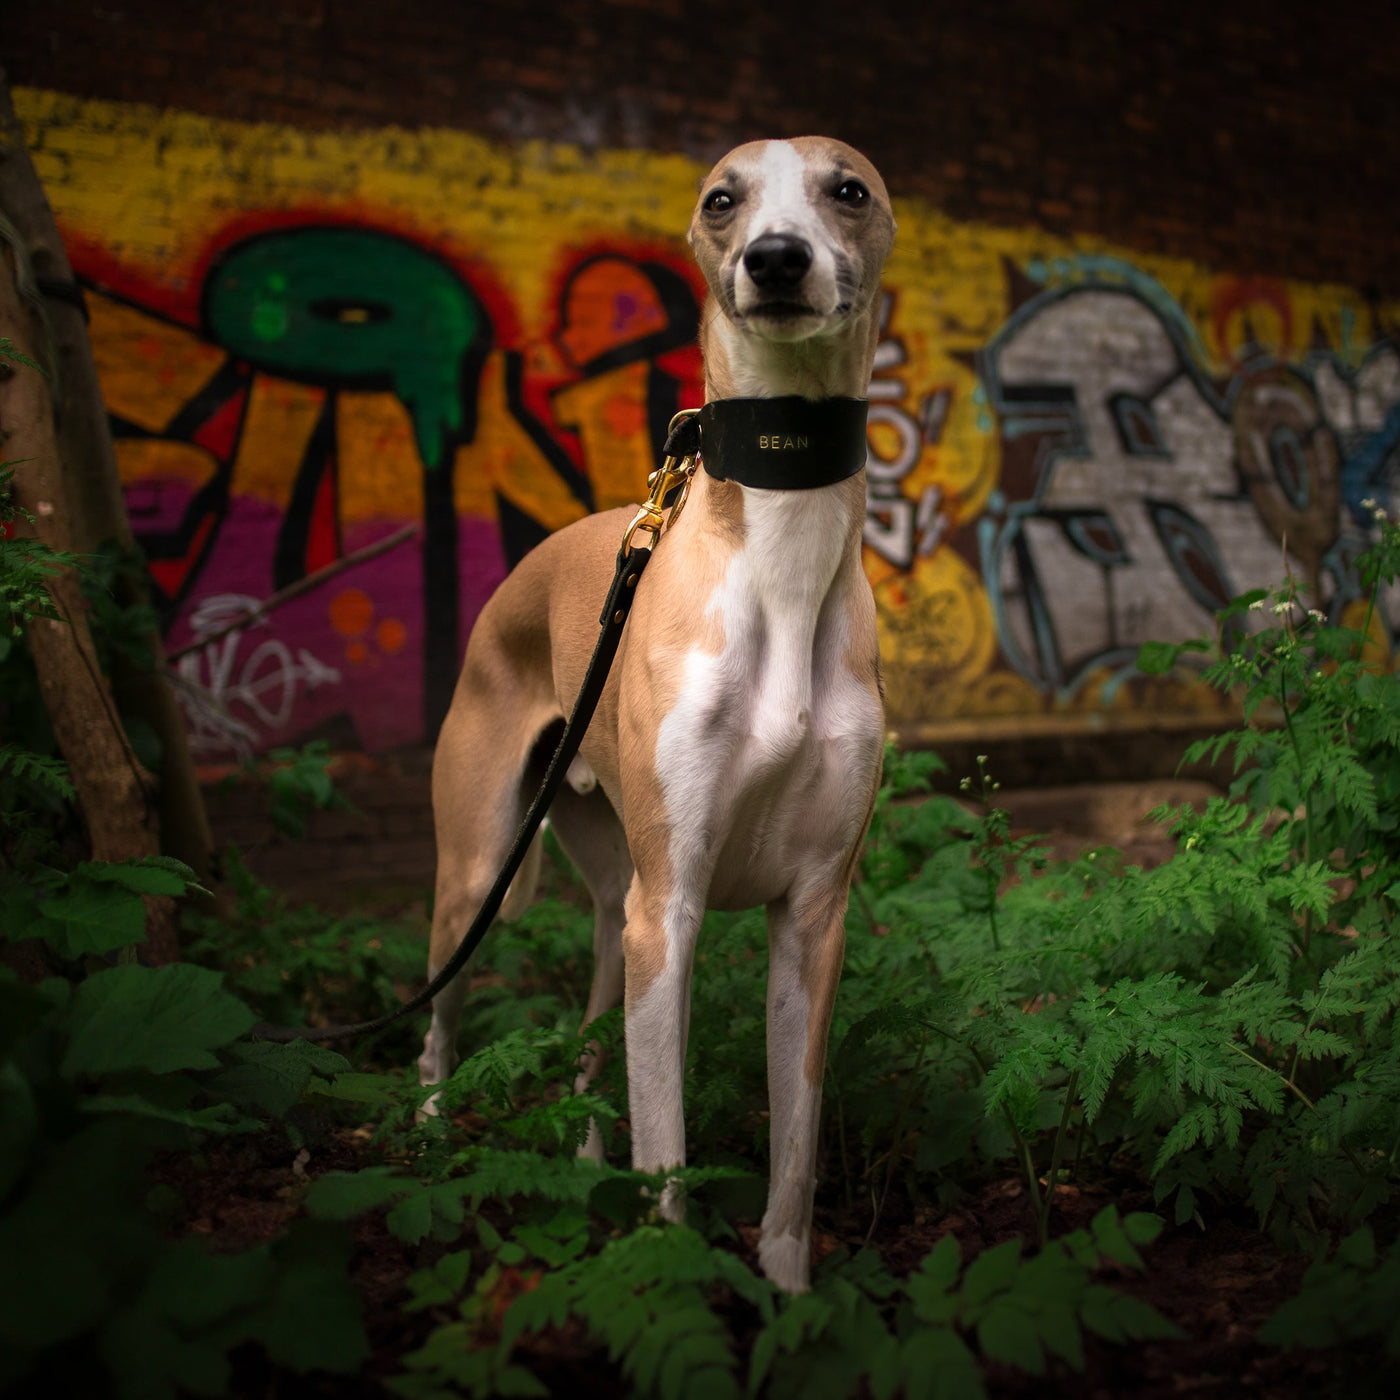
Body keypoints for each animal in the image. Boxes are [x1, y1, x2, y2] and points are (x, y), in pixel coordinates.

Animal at [417, 139, 896, 1288]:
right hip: (483, 877)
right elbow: (668, 1146)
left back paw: (584, 1168)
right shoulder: (669, 911)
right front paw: (669, 1271)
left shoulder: (811, 917)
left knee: (591, 1047)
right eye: (722, 198)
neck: (782, 556)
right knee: (442, 1017)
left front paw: (788, 1293)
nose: (776, 259)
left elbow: (792, 1161)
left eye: (847, 189)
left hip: (608, 906)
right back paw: (427, 1134)